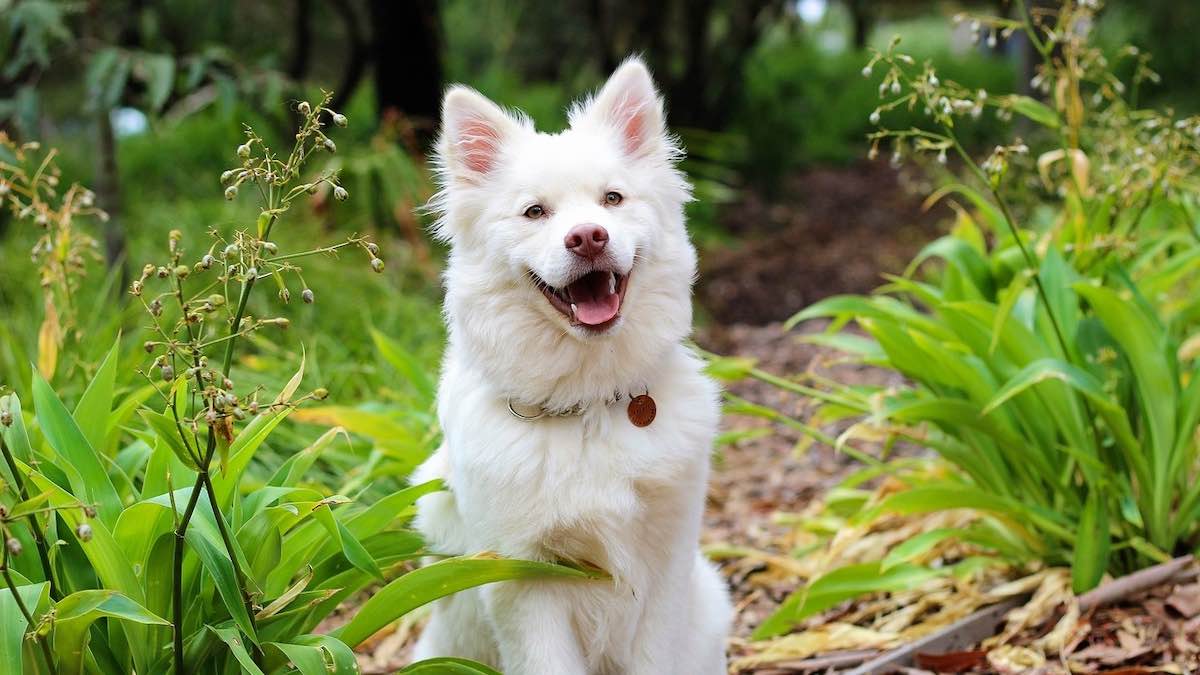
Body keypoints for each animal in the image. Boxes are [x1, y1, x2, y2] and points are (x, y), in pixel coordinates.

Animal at [412, 56, 729, 672]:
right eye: (535, 212)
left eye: (613, 199)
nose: (587, 237)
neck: (588, 404)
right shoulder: (524, 580)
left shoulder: (665, 566)